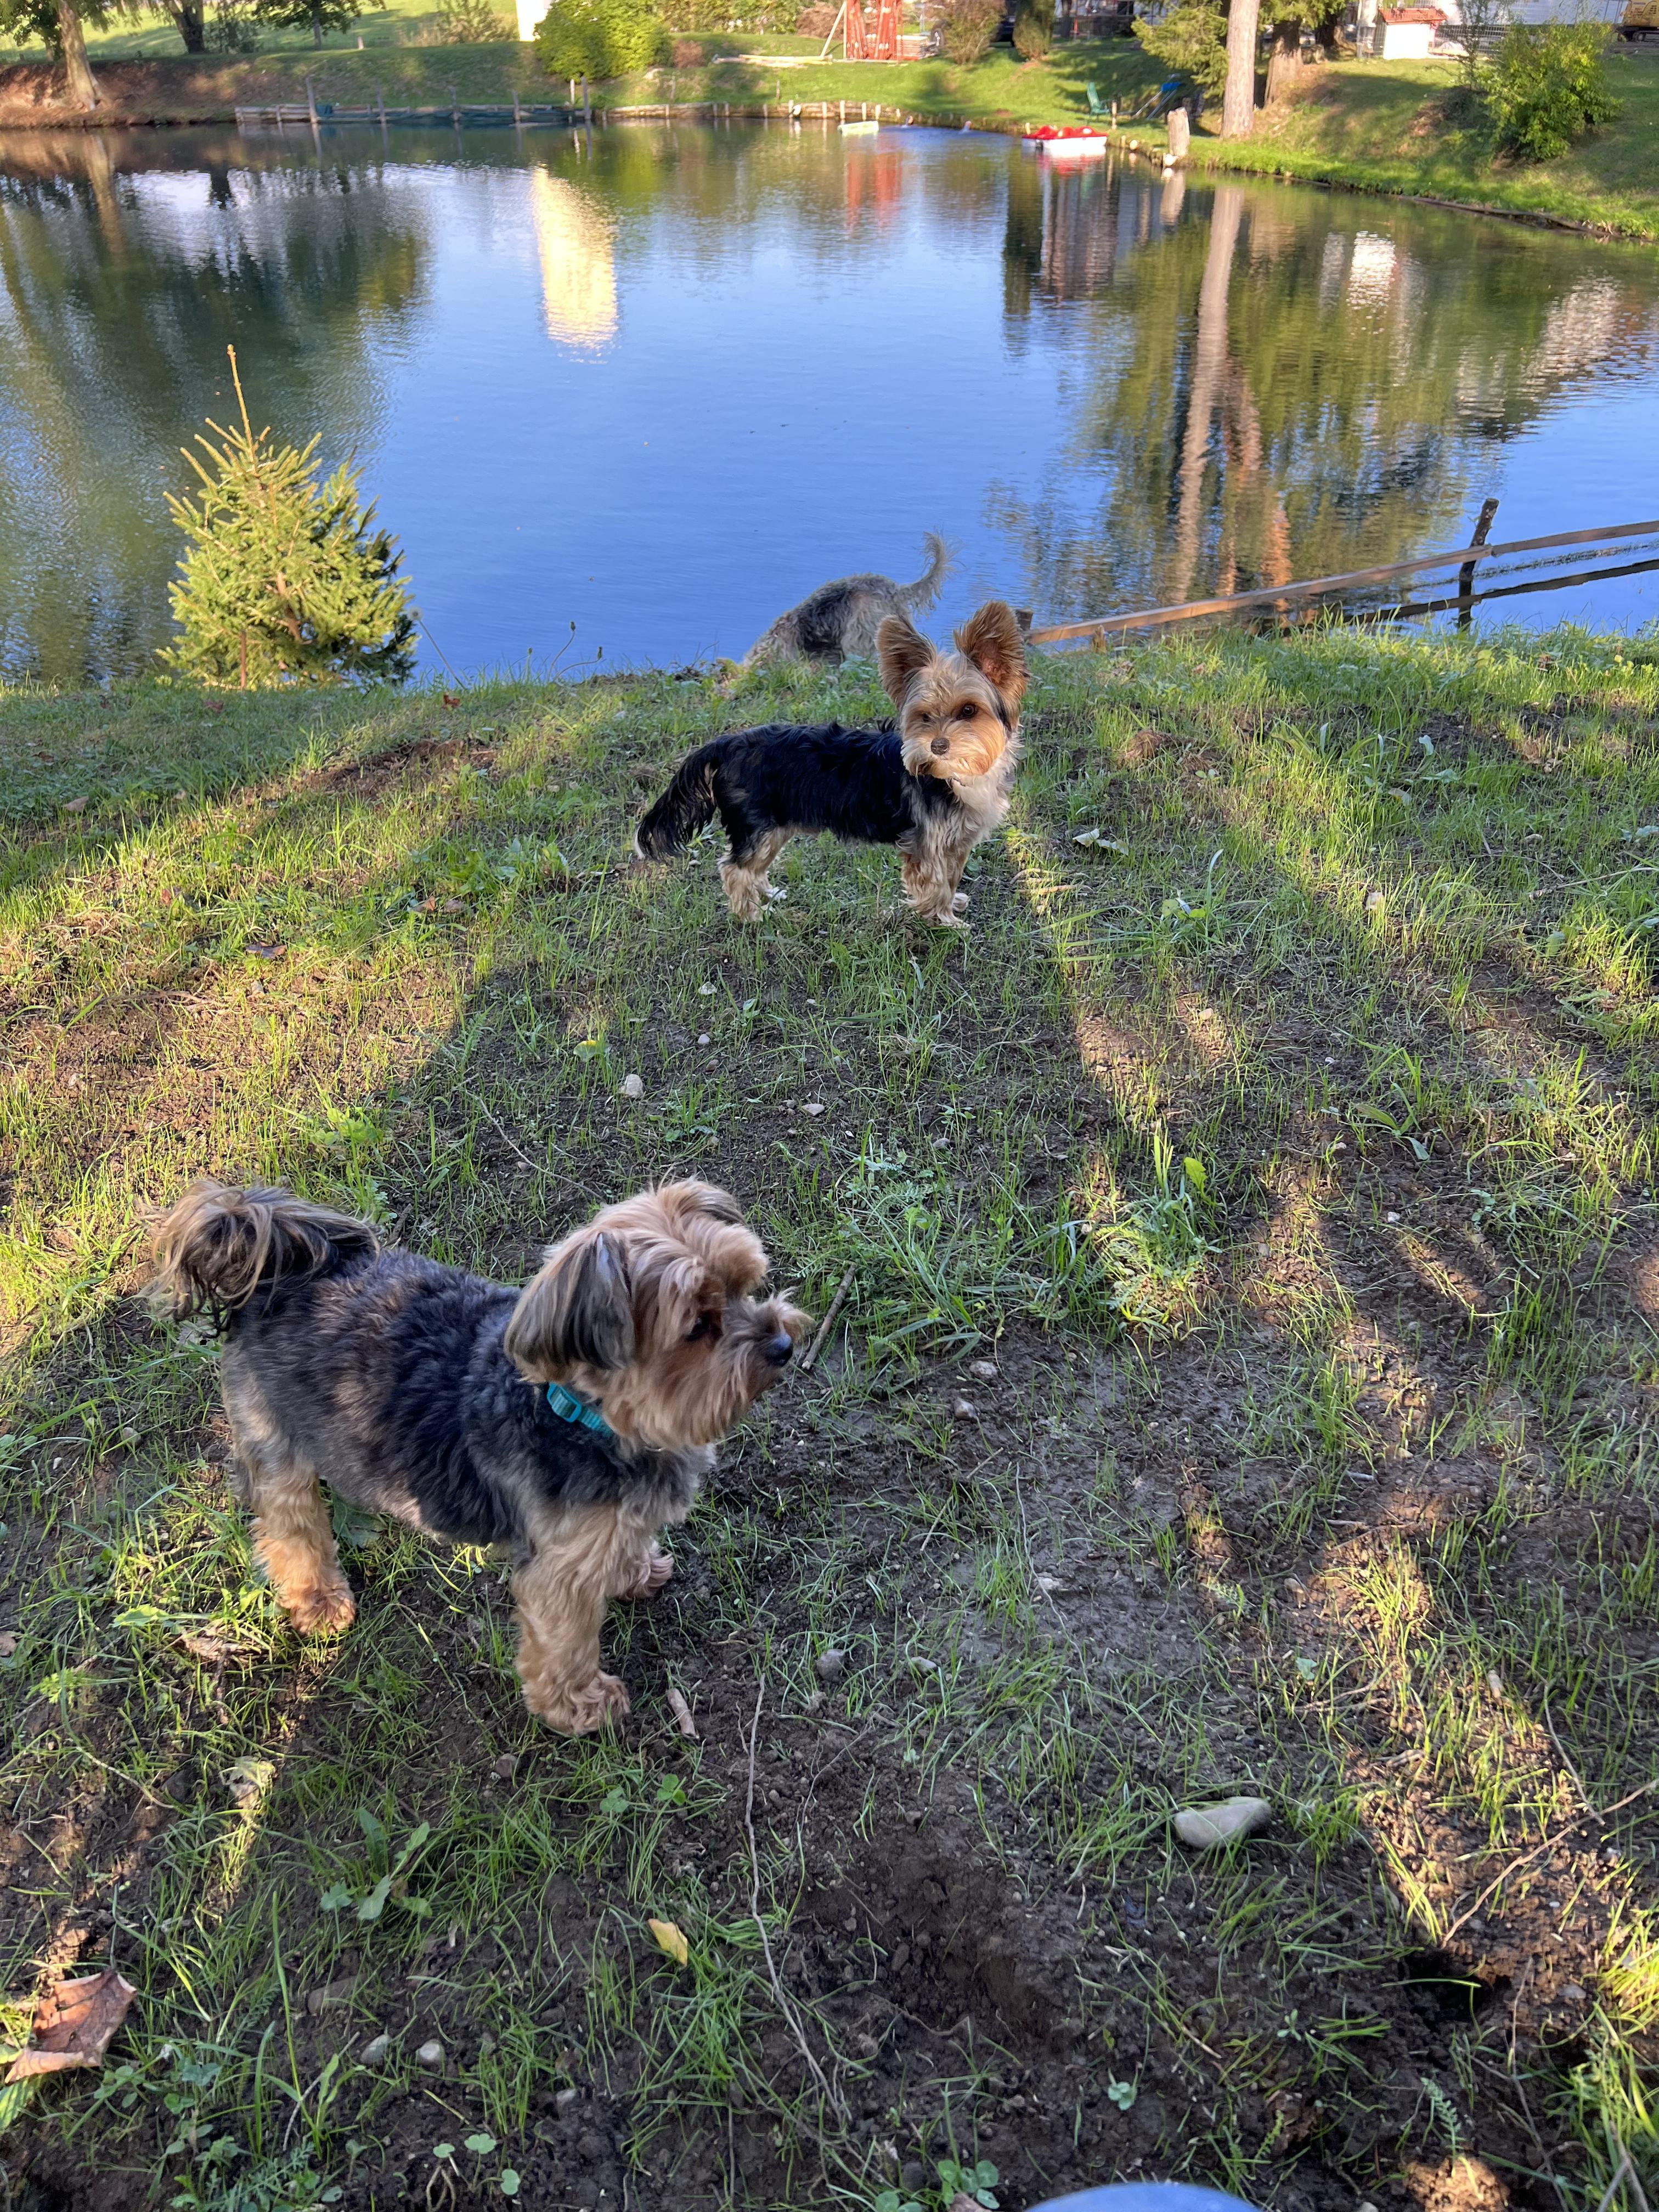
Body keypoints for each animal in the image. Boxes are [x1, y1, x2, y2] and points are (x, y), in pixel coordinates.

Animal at [148, 1179, 807, 1736]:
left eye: (745, 1283)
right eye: (698, 1326)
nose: (783, 1344)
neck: (585, 1413)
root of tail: (275, 1273)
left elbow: (624, 1546)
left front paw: (634, 1573)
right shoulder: (557, 1574)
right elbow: (566, 1642)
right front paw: (581, 1707)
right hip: (273, 1433)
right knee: (290, 1524)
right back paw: (318, 1599)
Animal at [637, 599, 1027, 927]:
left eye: (969, 711)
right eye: (924, 716)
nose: (938, 746)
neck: (956, 775)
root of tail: (728, 743)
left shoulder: (958, 841)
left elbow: (952, 876)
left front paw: (953, 904)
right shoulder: (927, 843)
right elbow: (936, 883)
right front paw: (945, 921)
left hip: (775, 828)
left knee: (752, 867)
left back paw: (767, 894)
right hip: (757, 827)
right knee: (734, 869)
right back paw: (751, 915)